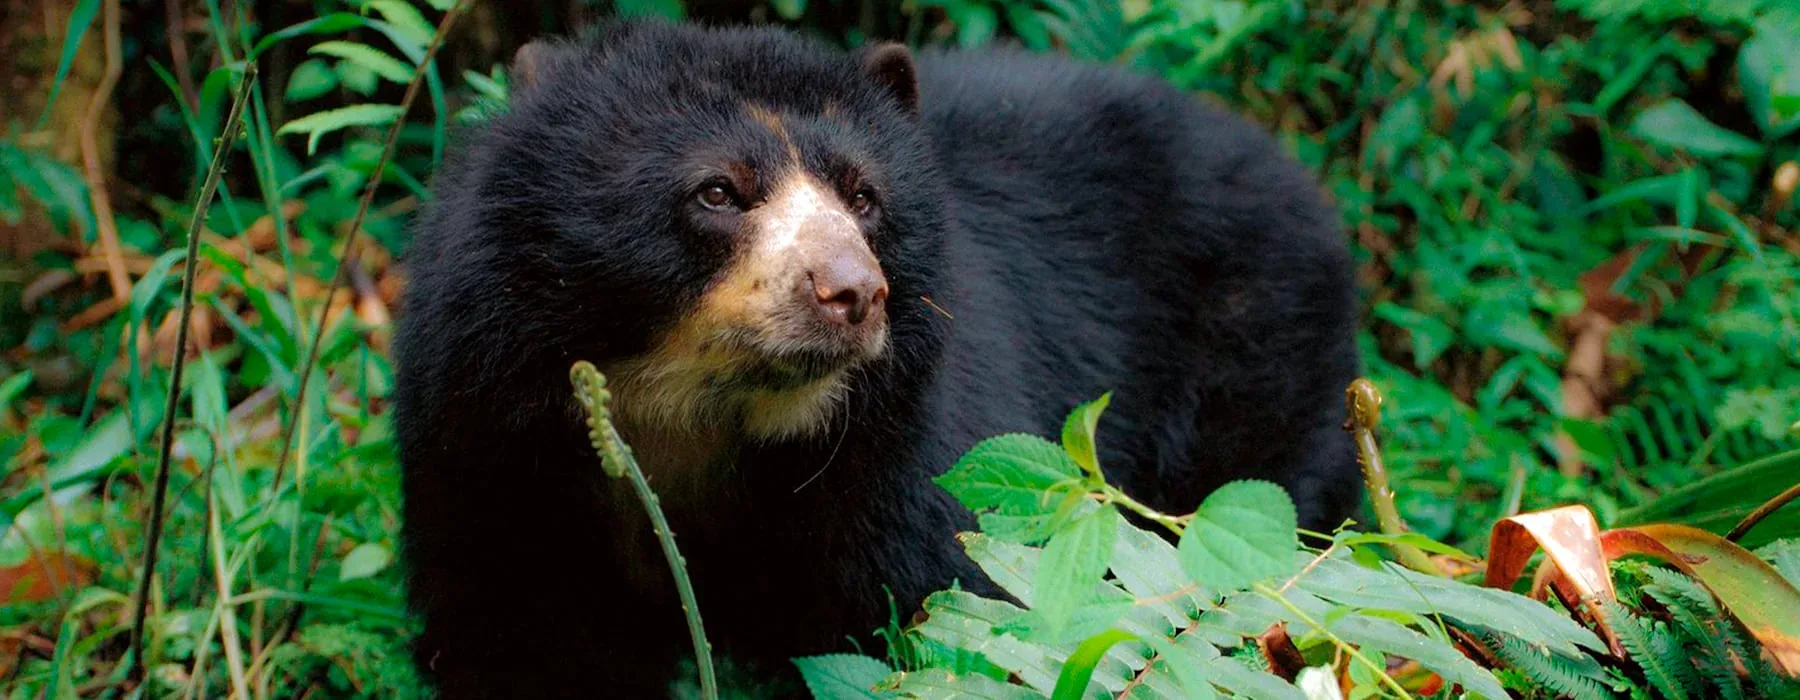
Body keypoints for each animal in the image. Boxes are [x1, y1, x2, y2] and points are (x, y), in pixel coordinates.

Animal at [391, 19, 1362, 699]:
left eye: (864, 196)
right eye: (719, 191)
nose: (854, 291)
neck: (700, 418)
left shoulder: (895, 452)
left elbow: (944, 603)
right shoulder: (494, 441)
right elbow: (522, 627)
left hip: (1251, 364)